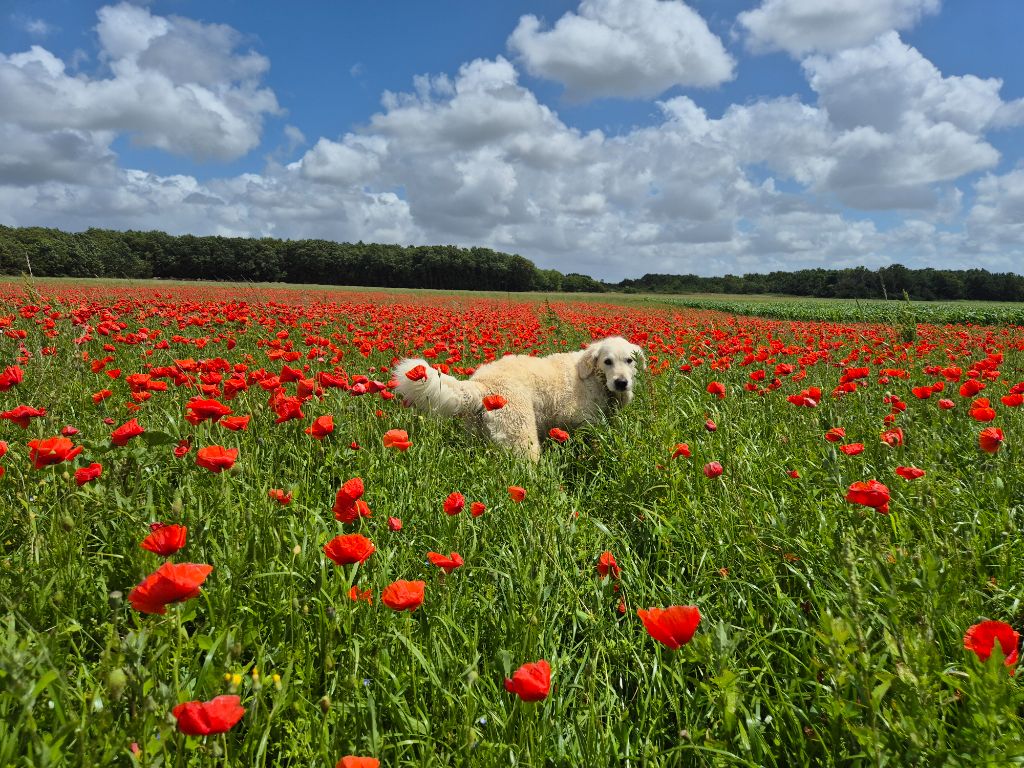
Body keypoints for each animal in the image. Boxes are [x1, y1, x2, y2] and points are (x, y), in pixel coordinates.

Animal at [395, 337, 643, 462]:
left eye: (629, 360)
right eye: (607, 361)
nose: (622, 383)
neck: (593, 375)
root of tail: (482, 385)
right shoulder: (584, 422)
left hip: (477, 437)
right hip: (522, 437)